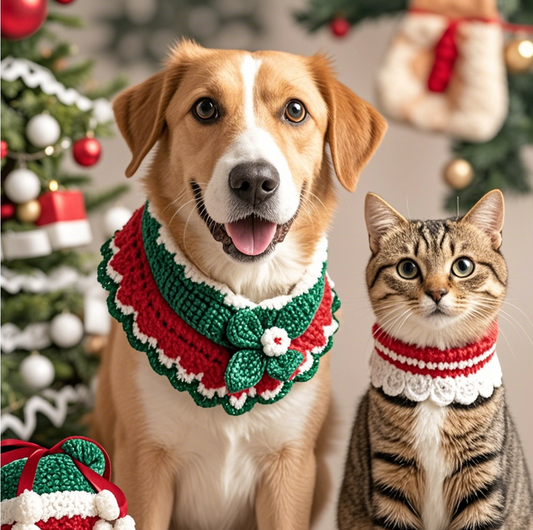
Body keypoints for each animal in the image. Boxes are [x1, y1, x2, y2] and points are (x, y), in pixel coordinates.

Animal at [90, 41, 382, 528]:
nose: (254, 181)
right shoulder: (144, 463)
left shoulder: (290, 468)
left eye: (295, 110)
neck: (245, 290)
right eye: (205, 108)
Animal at [336, 191, 532, 528]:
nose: (437, 292)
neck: (435, 373)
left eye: (463, 266)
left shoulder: (482, 478)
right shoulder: (390, 475)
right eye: (407, 268)